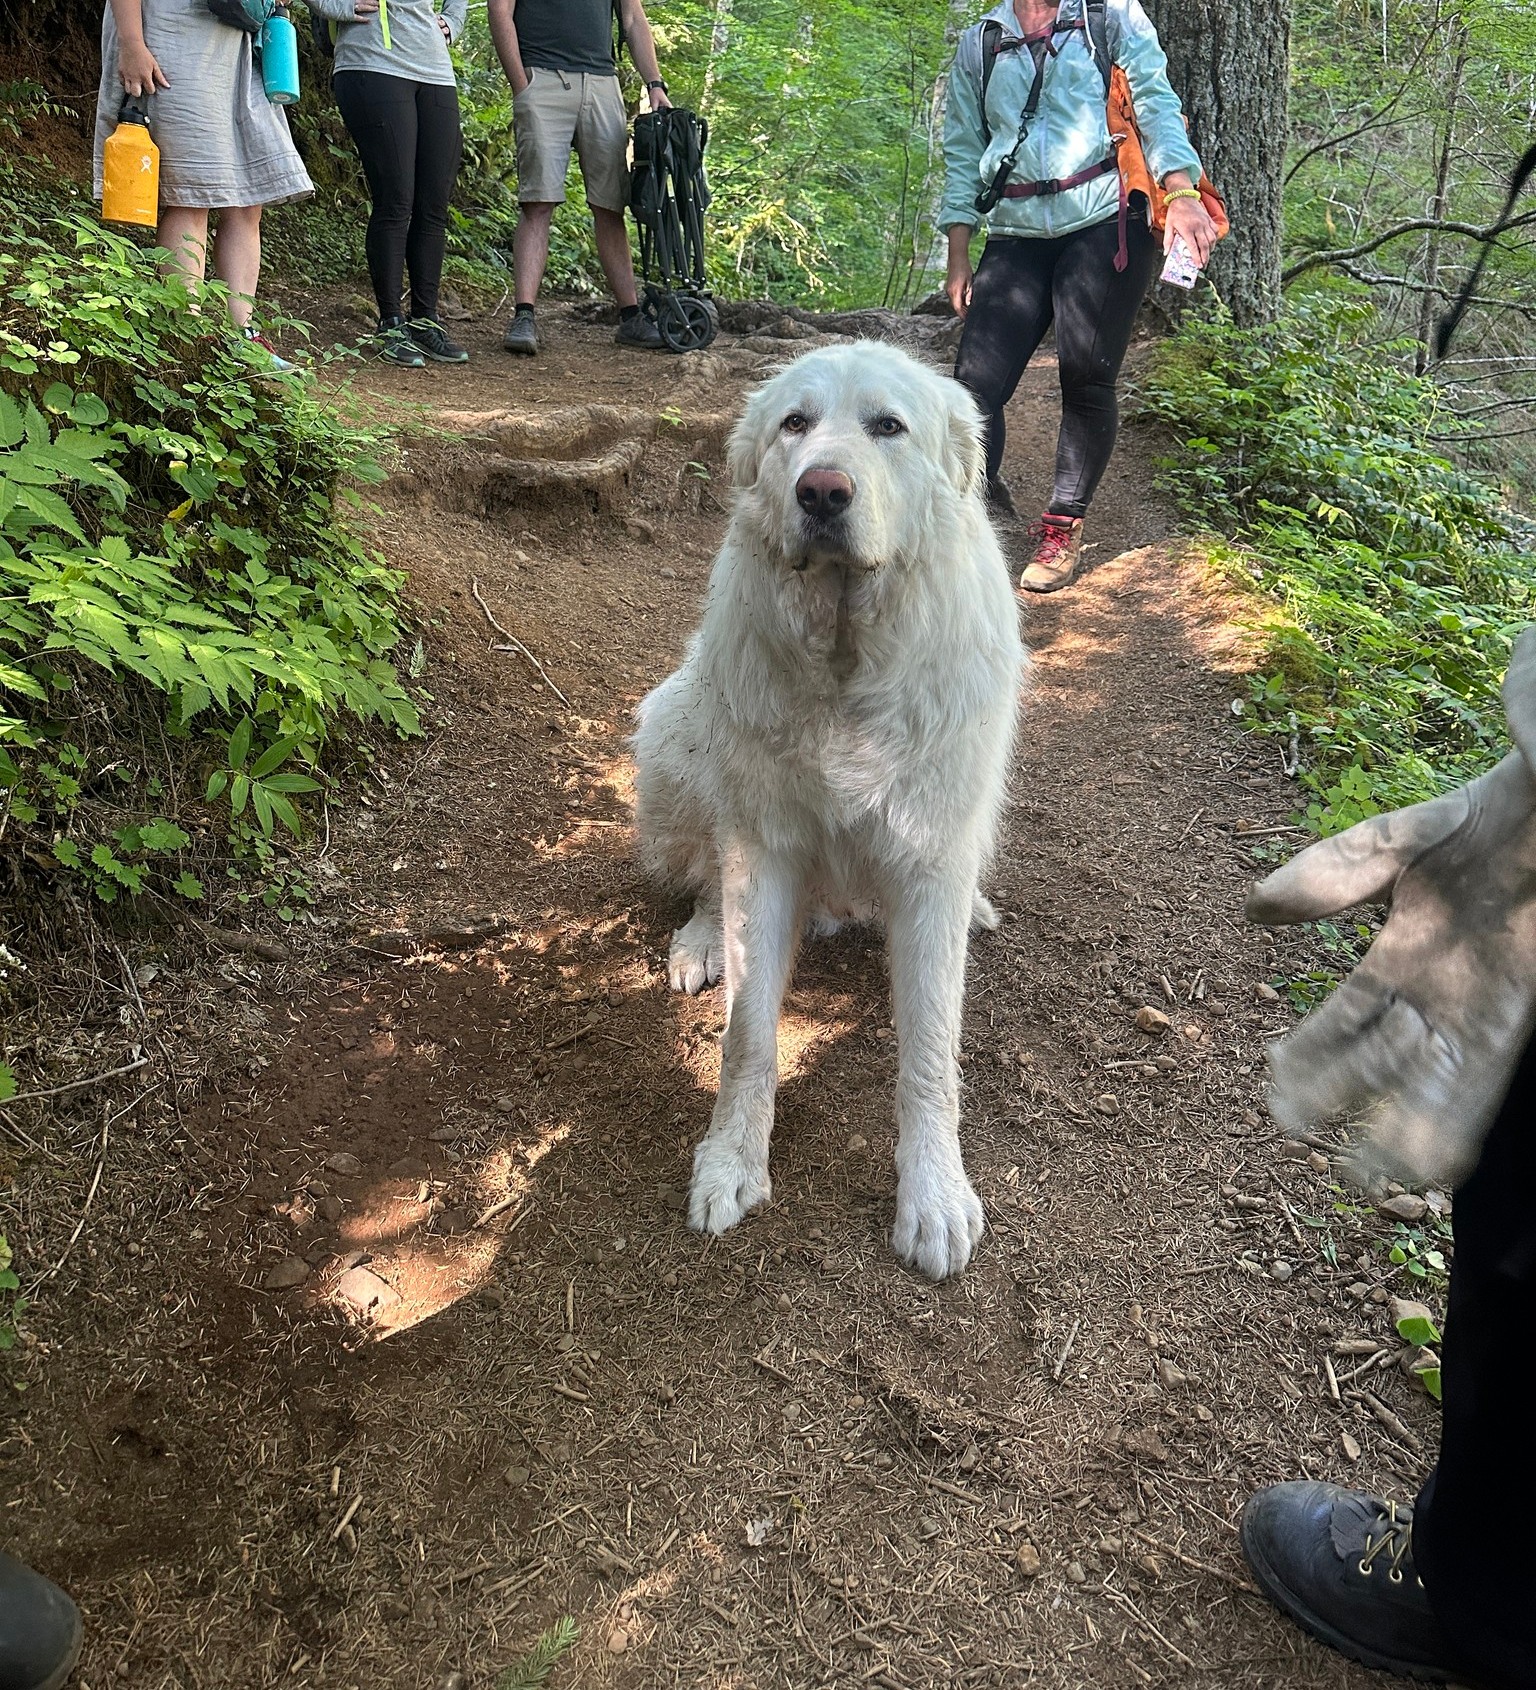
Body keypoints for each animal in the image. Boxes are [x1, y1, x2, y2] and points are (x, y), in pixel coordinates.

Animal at [628, 343, 1027, 1277]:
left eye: (887, 425)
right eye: (795, 425)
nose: (821, 492)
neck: (849, 659)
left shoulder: (928, 859)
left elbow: (930, 1053)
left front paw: (933, 1196)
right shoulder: (766, 851)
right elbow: (747, 1035)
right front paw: (731, 1162)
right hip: (675, 731)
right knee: (706, 872)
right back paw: (701, 938)